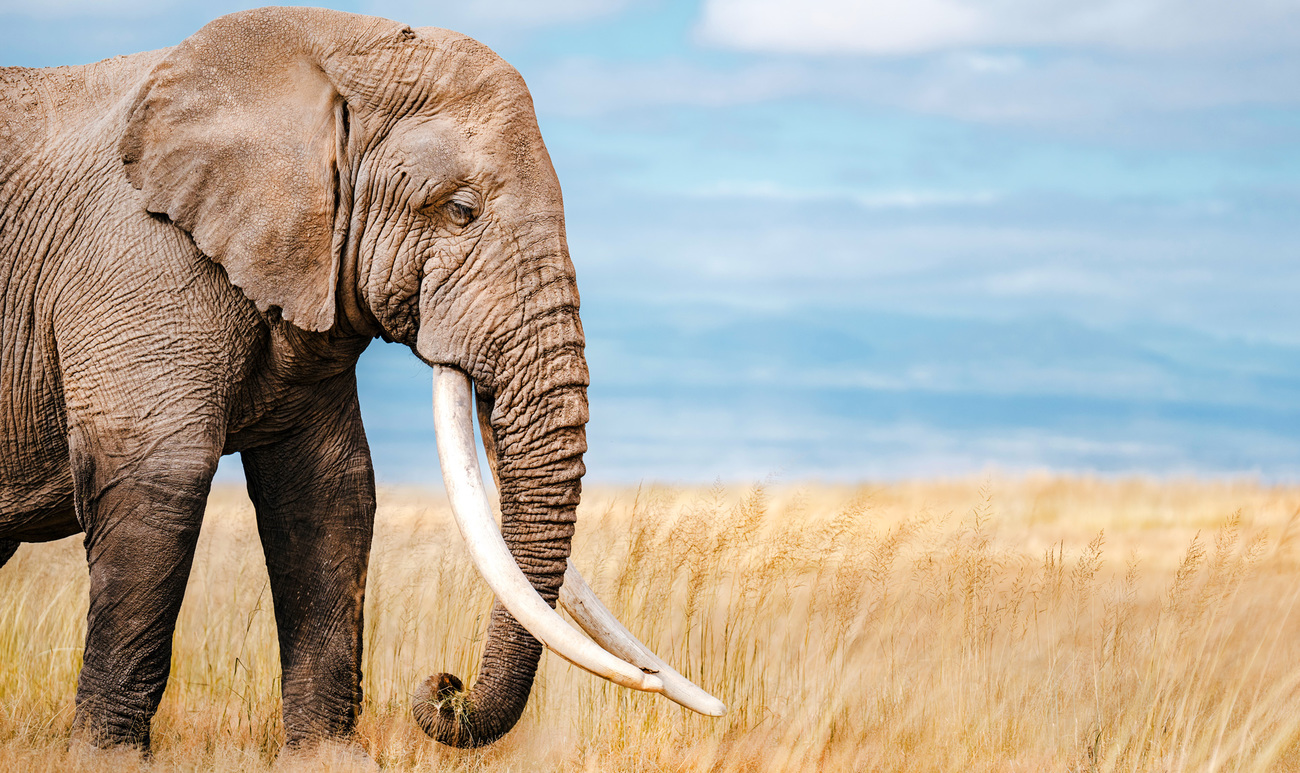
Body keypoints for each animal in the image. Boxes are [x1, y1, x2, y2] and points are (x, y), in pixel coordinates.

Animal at [0, 6, 722, 758]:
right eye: (460, 210)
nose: (444, 684)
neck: (329, 46)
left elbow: (330, 491)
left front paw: (328, 758)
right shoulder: (135, 255)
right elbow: (160, 476)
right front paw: (106, 759)